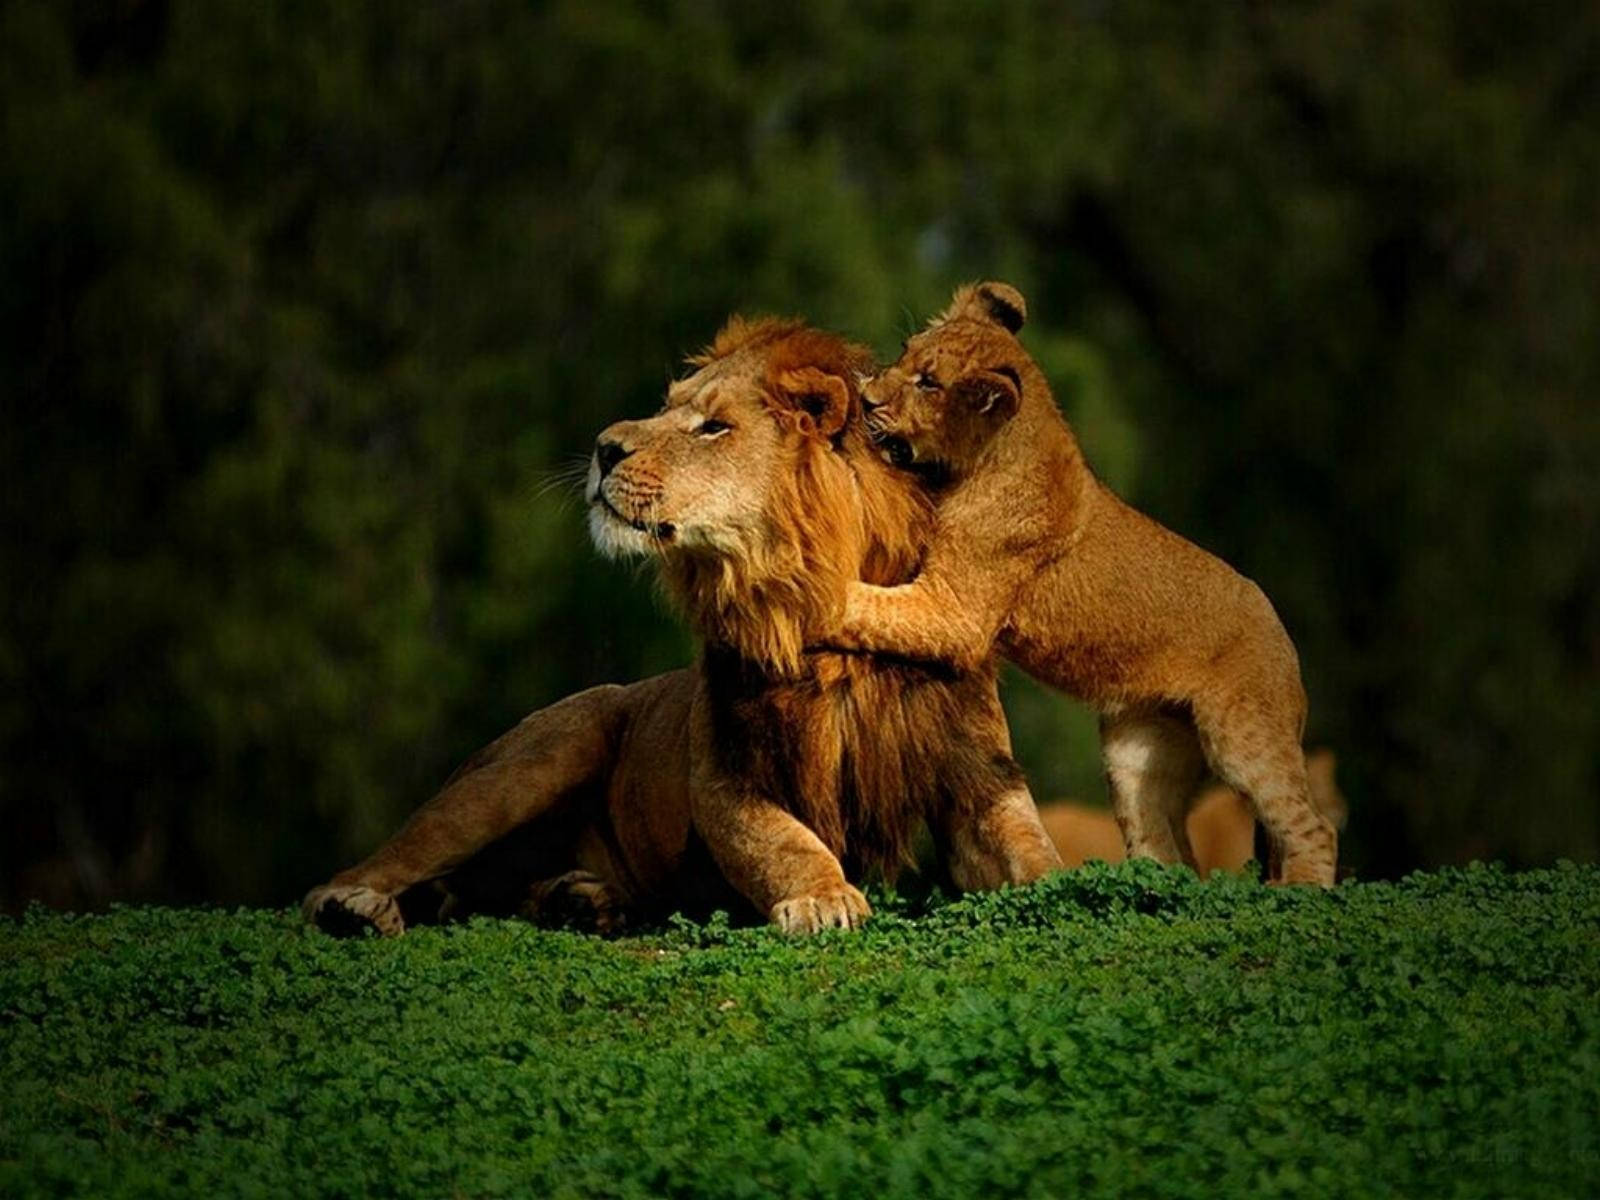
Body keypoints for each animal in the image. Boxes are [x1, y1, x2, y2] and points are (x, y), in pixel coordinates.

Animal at [308, 316, 1062, 940]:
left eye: (713, 427)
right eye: (667, 405)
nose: (602, 447)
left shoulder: (977, 771)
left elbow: (1031, 846)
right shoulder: (725, 774)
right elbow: (786, 841)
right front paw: (824, 898)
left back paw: (580, 901)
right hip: (533, 760)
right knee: (382, 864)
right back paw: (356, 908)